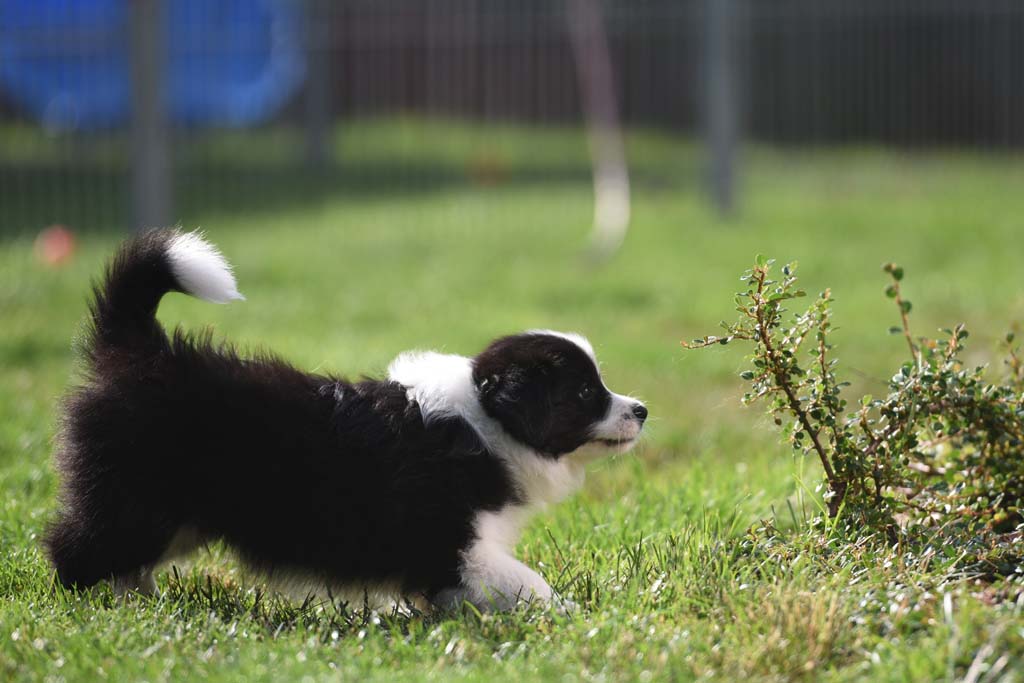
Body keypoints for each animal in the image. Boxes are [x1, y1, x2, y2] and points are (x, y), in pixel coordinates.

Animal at [46, 232, 647, 610]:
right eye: (585, 392)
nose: (641, 410)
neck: (486, 421)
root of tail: (140, 353)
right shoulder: (456, 544)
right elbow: (525, 582)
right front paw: (569, 614)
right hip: (133, 497)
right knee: (74, 549)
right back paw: (93, 607)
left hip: (176, 517)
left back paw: (144, 600)